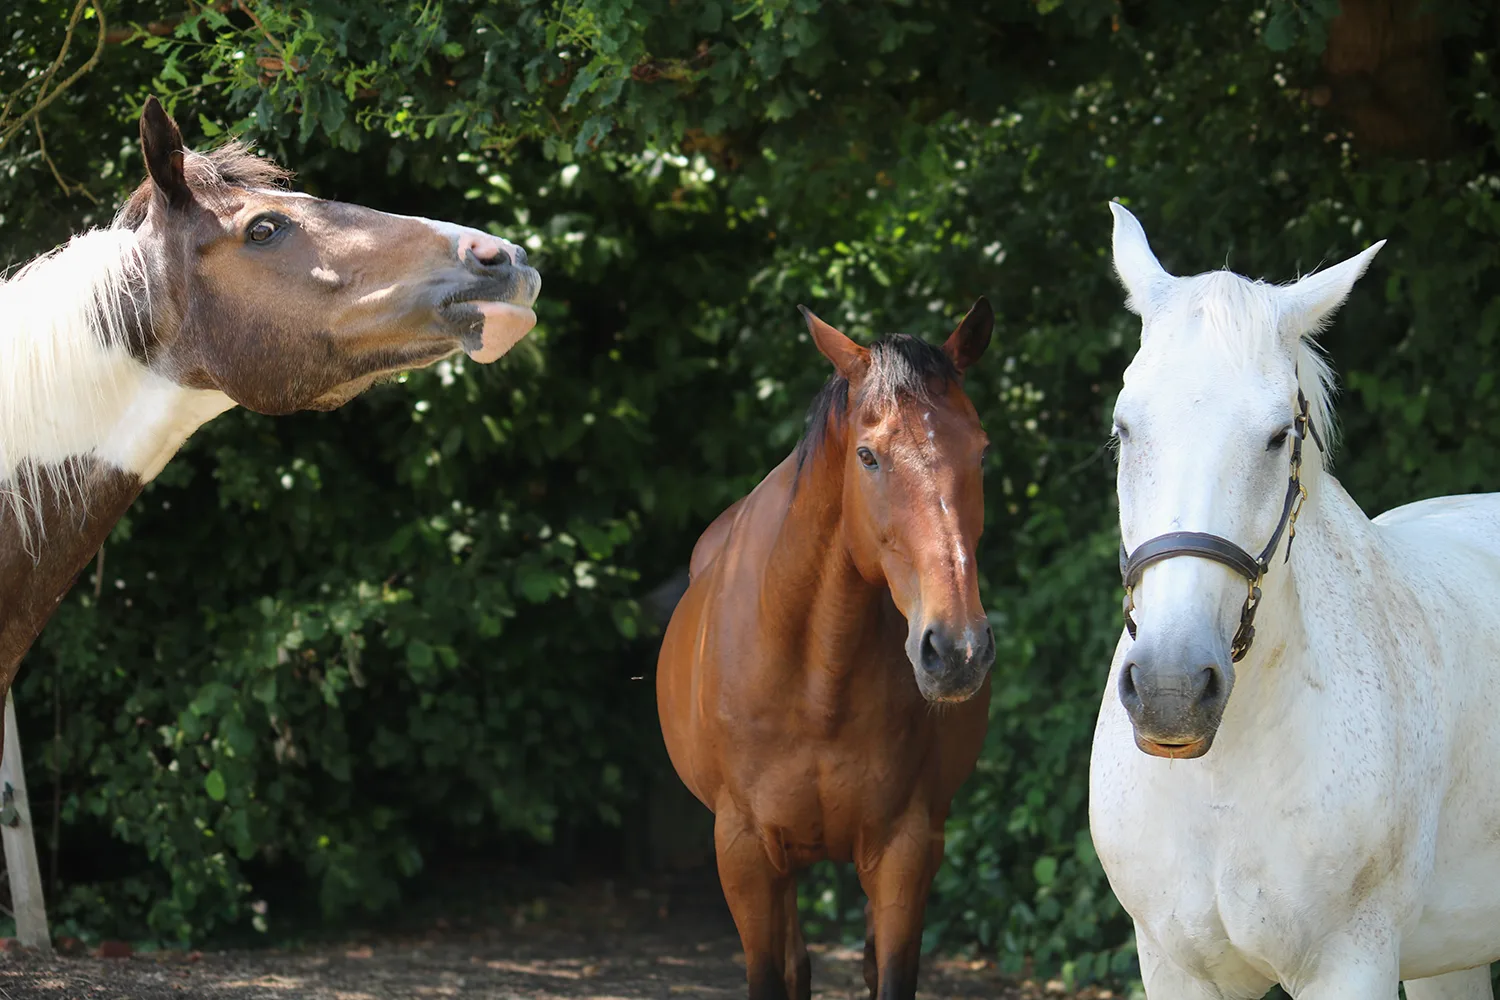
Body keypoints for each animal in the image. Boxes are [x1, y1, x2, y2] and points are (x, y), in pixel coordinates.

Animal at [657, 300, 997, 1000]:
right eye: (867, 455)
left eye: (980, 451)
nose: (957, 649)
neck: (816, 682)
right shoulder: (745, 852)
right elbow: (772, 975)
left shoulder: (906, 849)